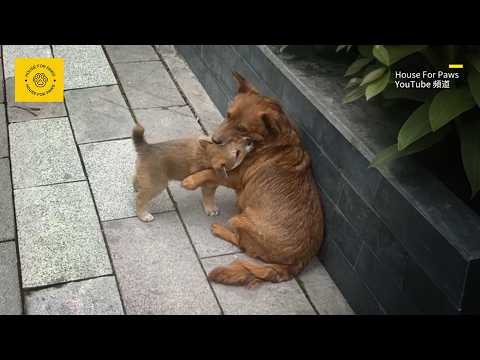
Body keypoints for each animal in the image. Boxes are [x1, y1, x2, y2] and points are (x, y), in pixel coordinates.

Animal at [182, 72, 324, 286]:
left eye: (242, 128)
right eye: (228, 115)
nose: (215, 139)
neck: (269, 142)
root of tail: (296, 264)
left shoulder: (234, 176)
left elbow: (209, 172)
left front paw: (191, 180)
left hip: (239, 220)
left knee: (242, 245)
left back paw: (219, 229)